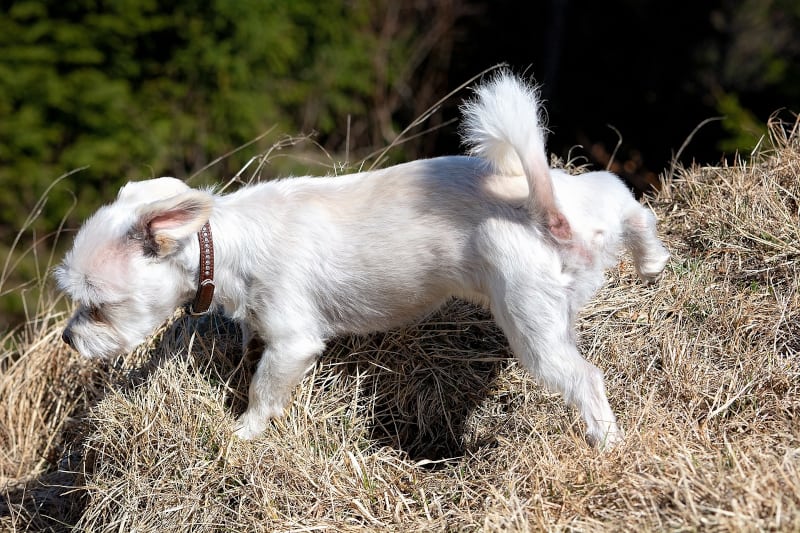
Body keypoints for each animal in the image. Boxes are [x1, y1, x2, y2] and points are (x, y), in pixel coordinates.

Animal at [54, 70, 668, 444]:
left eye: (98, 307)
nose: (66, 338)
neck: (220, 240)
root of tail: (546, 213)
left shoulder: (293, 340)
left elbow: (264, 388)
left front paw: (243, 432)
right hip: (595, 198)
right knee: (632, 206)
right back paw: (652, 262)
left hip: (531, 325)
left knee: (586, 379)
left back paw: (604, 440)